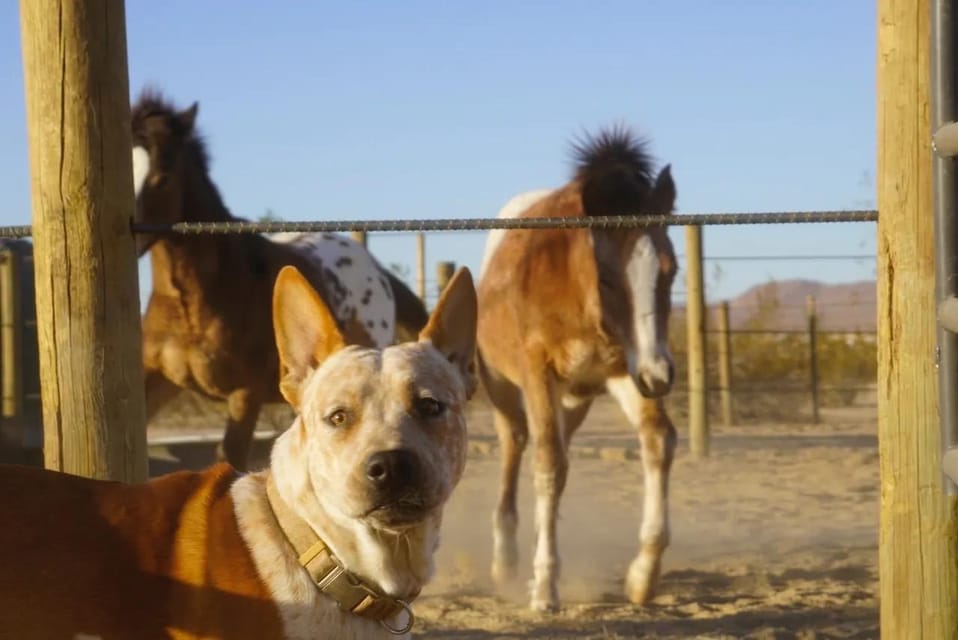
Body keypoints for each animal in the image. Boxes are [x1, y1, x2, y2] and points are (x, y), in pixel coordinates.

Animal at [129, 89, 430, 470]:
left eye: (163, 175)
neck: (190, 303)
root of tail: (375, 269)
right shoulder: (156, 378)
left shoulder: (245, 394)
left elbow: (229, 459)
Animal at [476, 127, 680, 612]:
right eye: (607, 277)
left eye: (671, 271)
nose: (660, 375)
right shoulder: (537, 371)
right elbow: (548, 465)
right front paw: (545, 589)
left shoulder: (623, 369)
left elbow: (658, 439)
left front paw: (642, 576)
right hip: (503, 386)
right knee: (517, 443)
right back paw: (507, 561)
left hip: (576, 397)